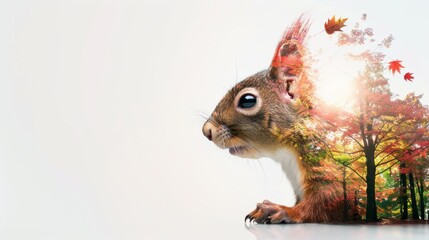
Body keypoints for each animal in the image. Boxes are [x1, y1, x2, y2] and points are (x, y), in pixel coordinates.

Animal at [201, 16, 358, 223]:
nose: (206, 131)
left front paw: (280, 210)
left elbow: (325, 203)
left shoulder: (331, 165)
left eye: (247, 100)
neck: (286, 153)